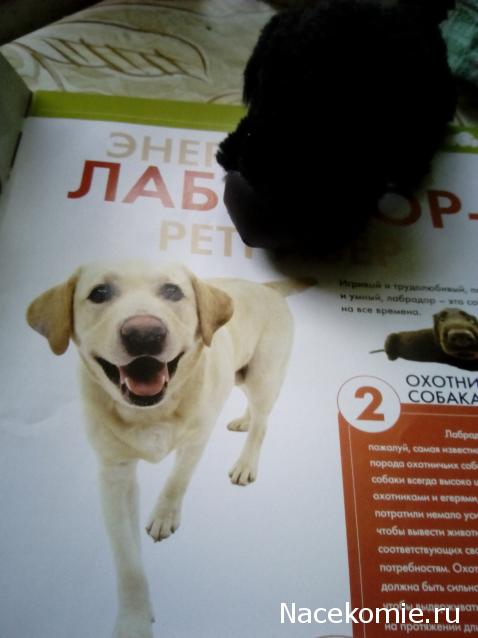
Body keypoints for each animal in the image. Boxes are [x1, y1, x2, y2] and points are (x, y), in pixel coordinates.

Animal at [27, 261, 299, 638]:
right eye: (99, 293)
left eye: (173, 291)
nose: (144, 334)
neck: (151, 412)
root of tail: (266, 286)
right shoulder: (114, 476)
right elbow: (127, 559)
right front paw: (134, 619)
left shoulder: (196, 440)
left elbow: (176, 480)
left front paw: (164, 515)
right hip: (243, 376)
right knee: (255, 411)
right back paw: (243, 421)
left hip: (263, 376)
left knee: (263, 421)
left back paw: (246, 461)